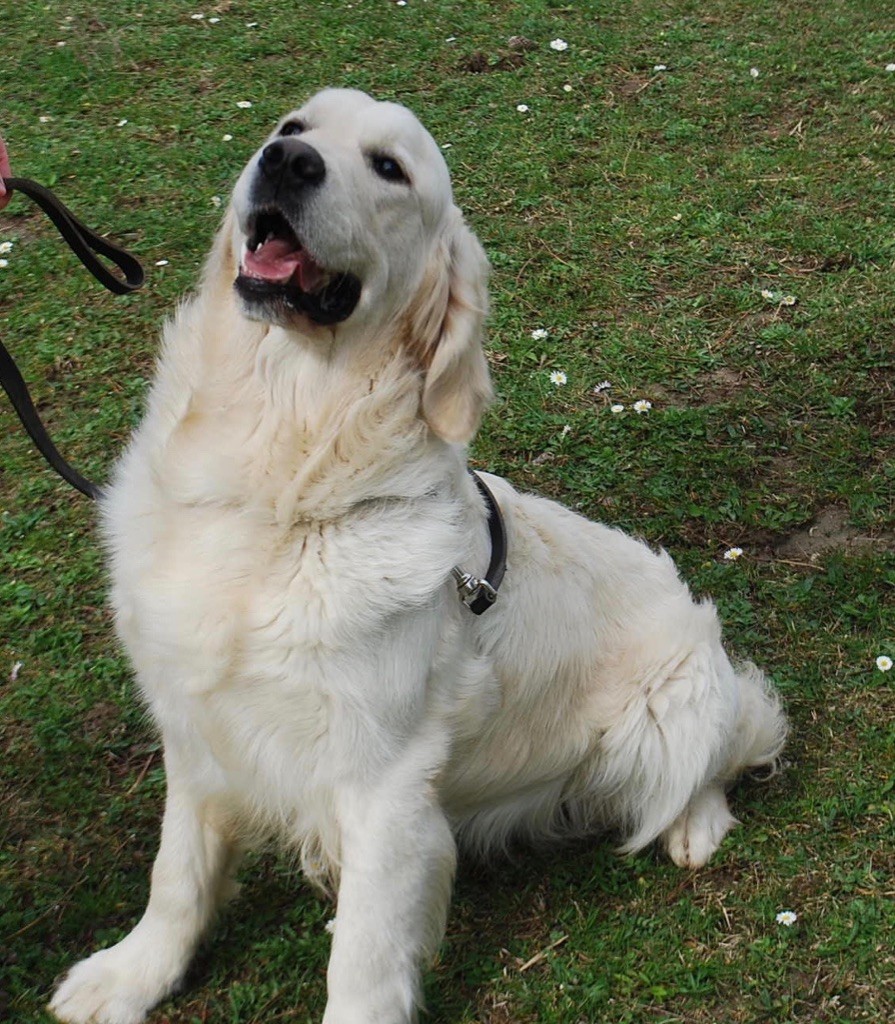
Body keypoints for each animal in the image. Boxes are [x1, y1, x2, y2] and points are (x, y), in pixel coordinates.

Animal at [52, 90, 786, 1024]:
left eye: (389, 169)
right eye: (293, 126)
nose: (286, 164)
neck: (277, 488)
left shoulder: (384, 782)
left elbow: (363, 959)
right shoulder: (198, 728)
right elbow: (176, 872)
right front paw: (129, 974)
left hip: (674, 698)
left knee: (715, 759)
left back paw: (694, 824)